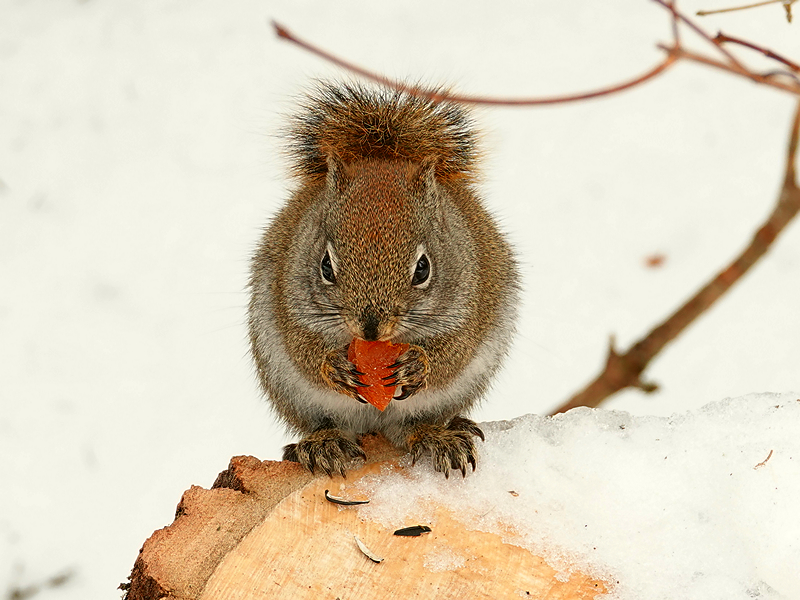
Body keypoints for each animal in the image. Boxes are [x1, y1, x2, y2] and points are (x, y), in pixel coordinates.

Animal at [248, 83, 520, 478]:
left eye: (423, 269)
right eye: (325, 266)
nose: (371, 328)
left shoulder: (473, 304)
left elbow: (454, 351)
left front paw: (418, 364)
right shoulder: (286, 299)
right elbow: (303, 350)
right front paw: (333, 366)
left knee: (413, 425)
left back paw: (436, 436)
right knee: (325, 422)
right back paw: (325, 443)